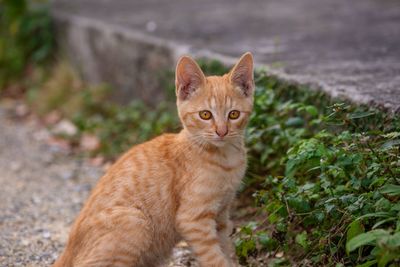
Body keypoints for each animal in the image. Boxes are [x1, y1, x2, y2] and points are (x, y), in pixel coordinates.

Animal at [52, 52, 253, 267]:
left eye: (234, 114)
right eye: (205, 115)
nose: (222, 132)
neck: (226, 160)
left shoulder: (222, 215)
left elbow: (226, 250)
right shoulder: (193, 219)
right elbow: (215, 258)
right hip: (136, 222)